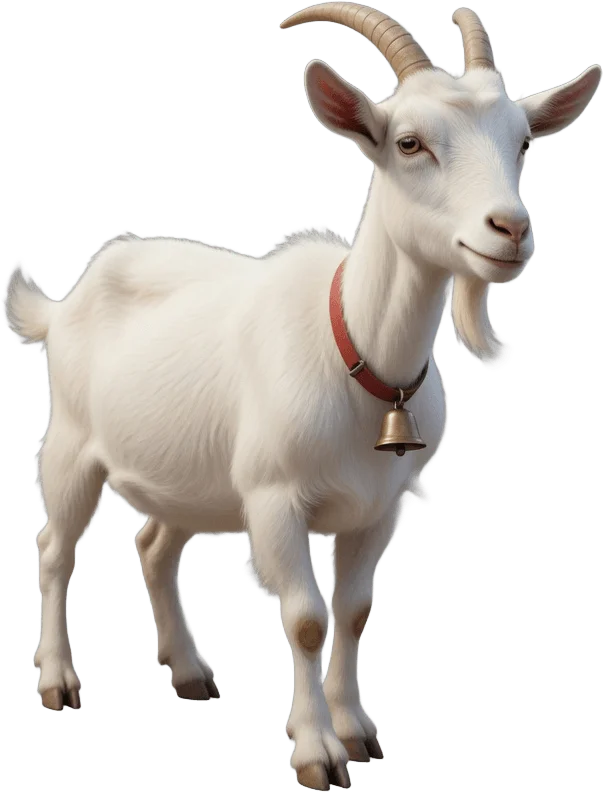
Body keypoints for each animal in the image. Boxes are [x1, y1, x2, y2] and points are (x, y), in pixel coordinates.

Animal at [5, 3, 600, 790]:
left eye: (523, 139)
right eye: (409, 142)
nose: (510, 229)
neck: (357, 354)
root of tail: (70, 298)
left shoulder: (383, 507)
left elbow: (353, 612)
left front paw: (356, 731)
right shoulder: (273, 499)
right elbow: (307, 620)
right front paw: (315, 751)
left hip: (190, 478)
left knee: (154, 546)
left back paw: (189, 671)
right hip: (72, 447)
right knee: (55, 550)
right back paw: (57, 681)